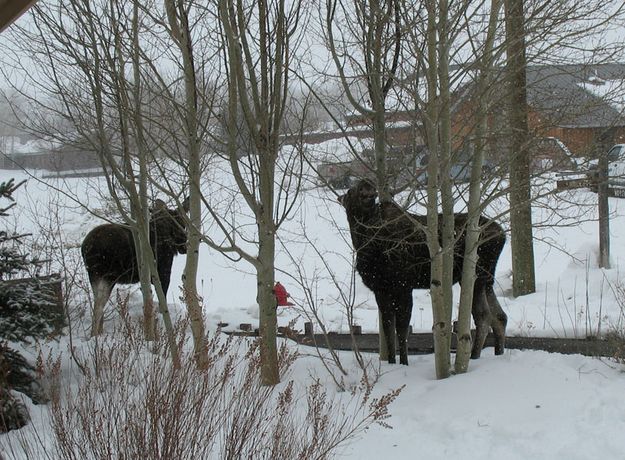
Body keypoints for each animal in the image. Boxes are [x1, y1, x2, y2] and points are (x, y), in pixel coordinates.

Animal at [81, 197, 188, 334]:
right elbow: (161, 303)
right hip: (107, 277)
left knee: (97, 303)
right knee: (98, 307)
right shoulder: (163, 274)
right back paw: (95, 335)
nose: (185, 247)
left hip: (95, 277)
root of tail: (84, 247)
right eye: (181, 224)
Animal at [336, 181, 508, 364]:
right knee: (499, 316)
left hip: (475, 275)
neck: (364, 241)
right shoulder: (381, 289)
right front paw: (392, 362)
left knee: (483, 315)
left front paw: (404, 363)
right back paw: (497, 353)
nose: (365, 184)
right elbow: (388, 328)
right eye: (350, 191)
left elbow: (402, 328)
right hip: (486, 278)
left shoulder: (403, 286)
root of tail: (503, 235)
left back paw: (474, 356)